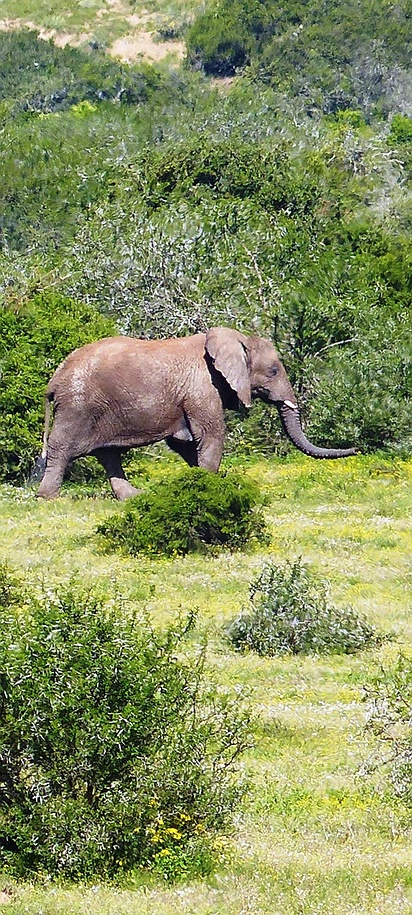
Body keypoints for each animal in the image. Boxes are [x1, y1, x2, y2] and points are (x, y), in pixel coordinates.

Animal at [35, 327, 356, 500]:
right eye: (274, 371)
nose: (356, 449)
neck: (235, 338)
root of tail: (54, 380)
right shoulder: (204, 388)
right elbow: (210, 436)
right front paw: (212, 488)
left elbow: (187, 445)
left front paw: (203, 484)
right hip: (78, 406)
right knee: (62, 447)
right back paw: (47, 497)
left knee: (108, 454)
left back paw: (134, 497)